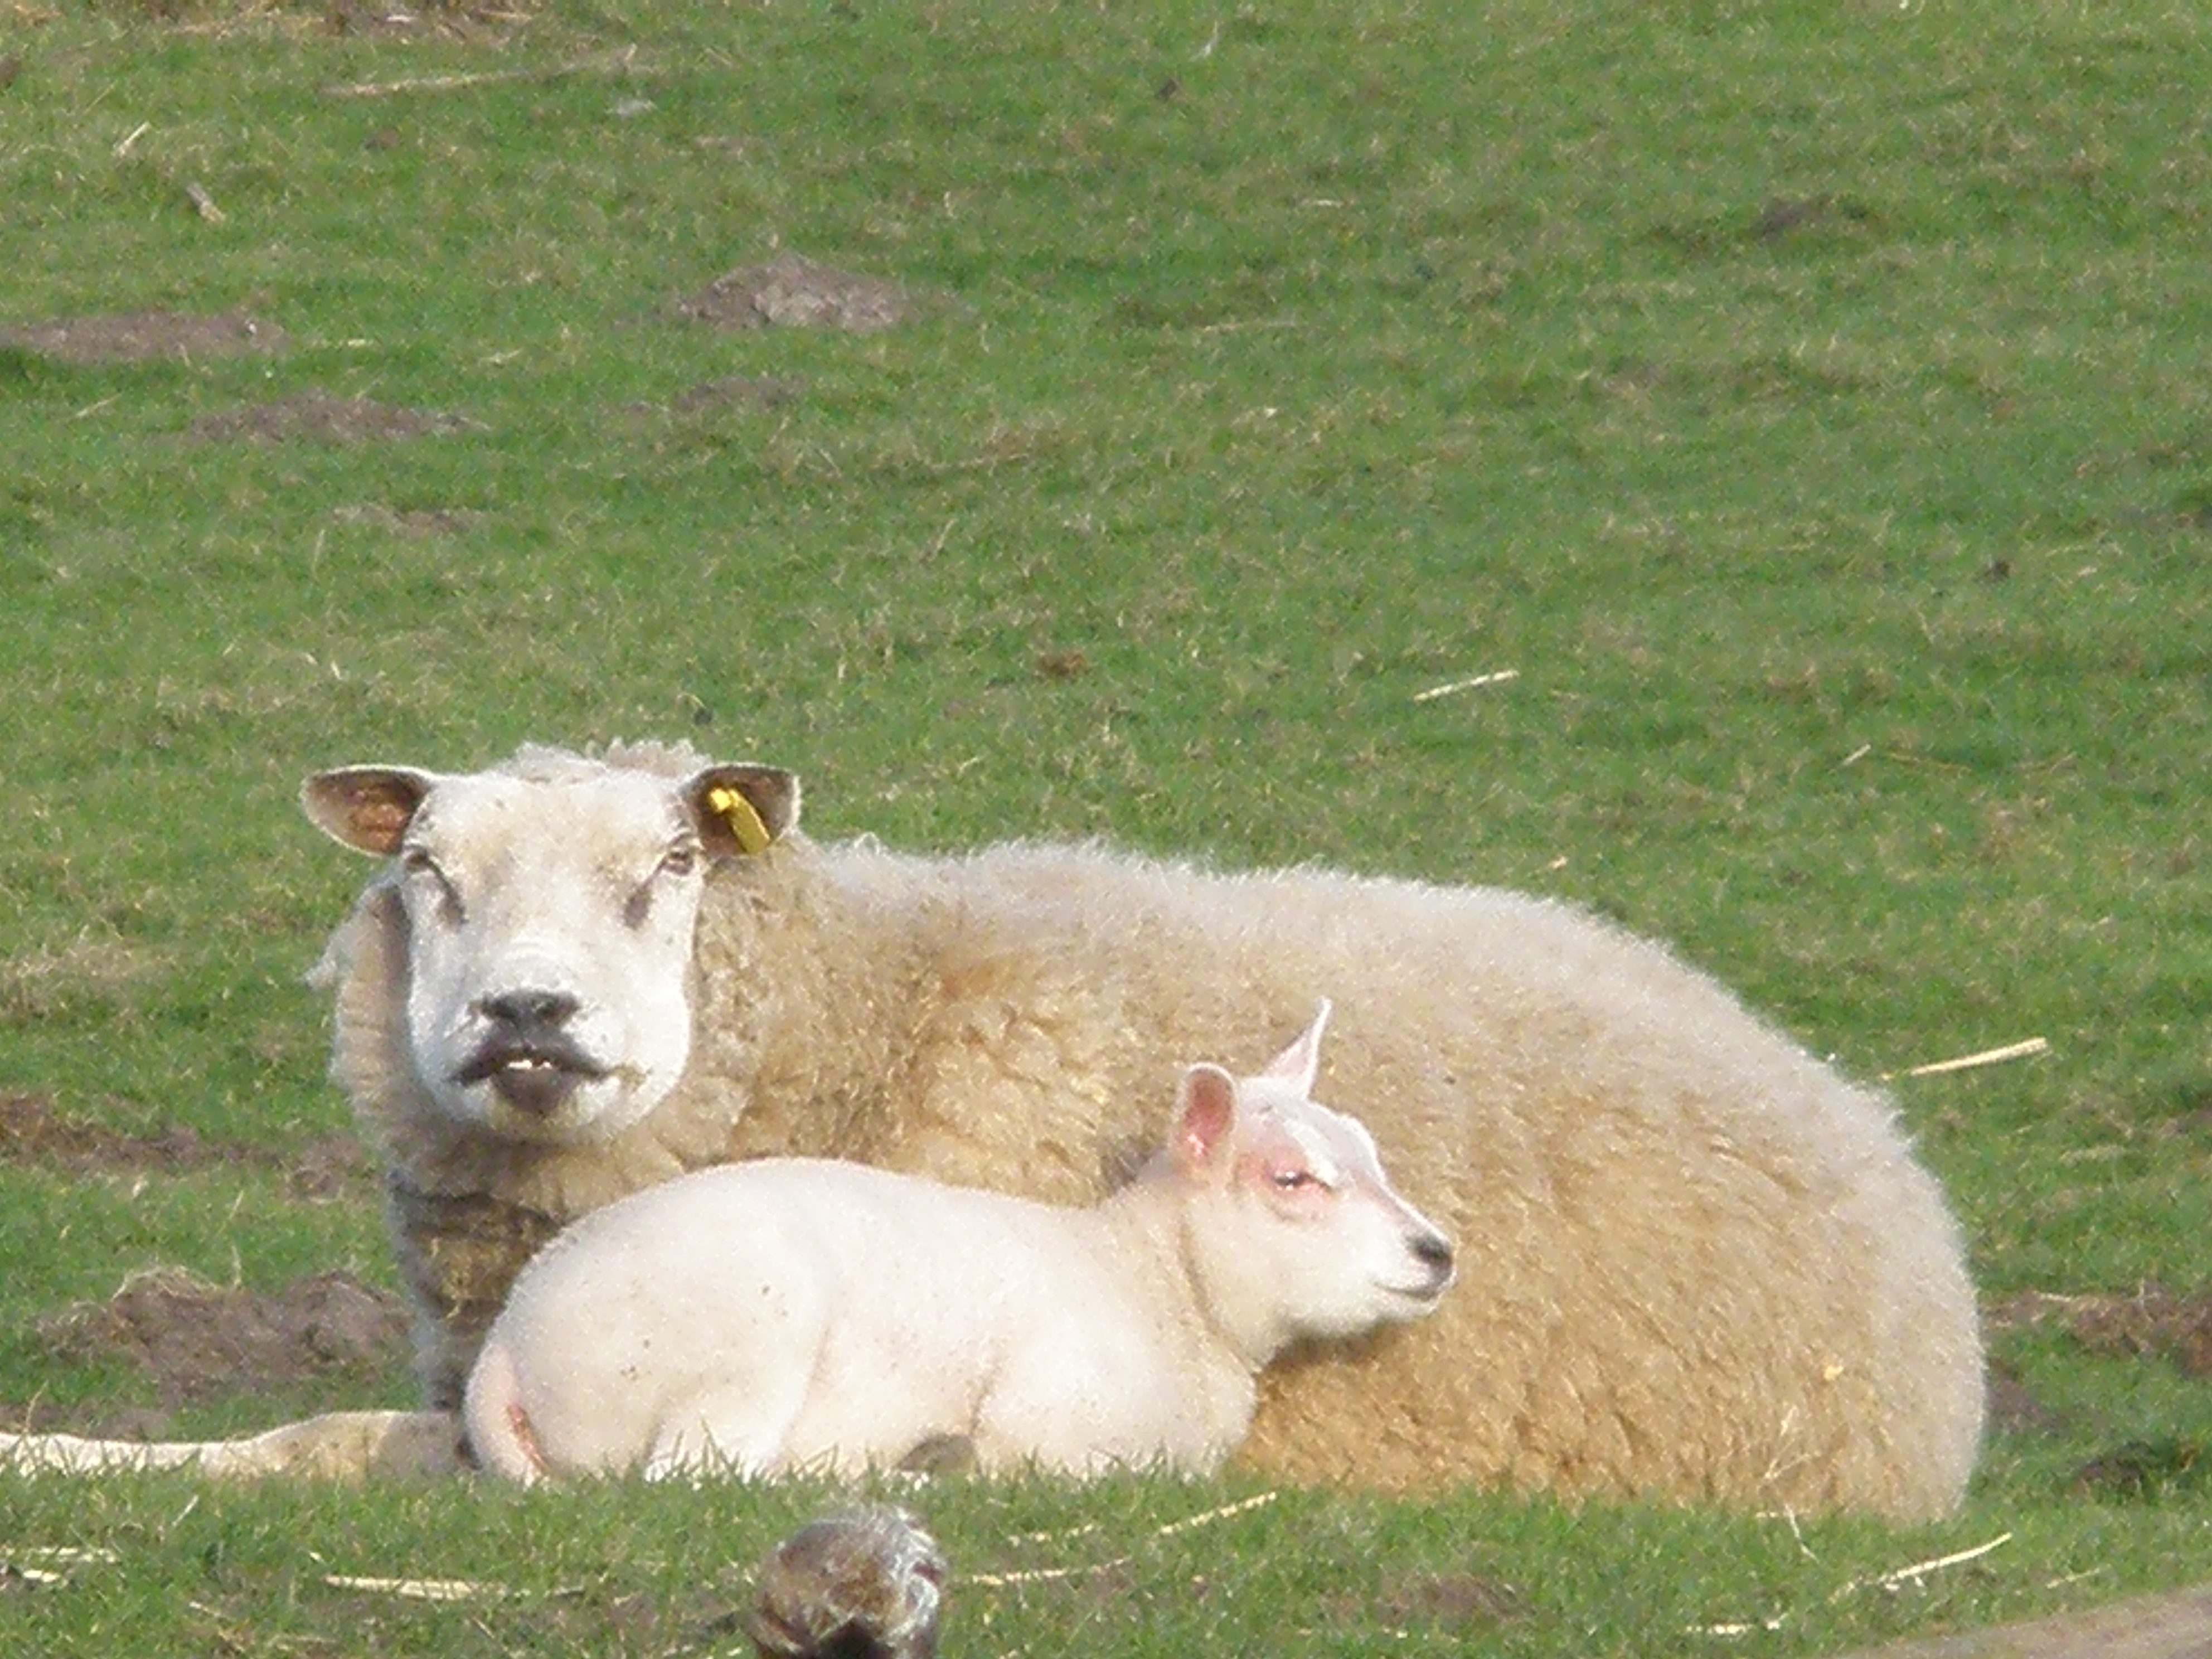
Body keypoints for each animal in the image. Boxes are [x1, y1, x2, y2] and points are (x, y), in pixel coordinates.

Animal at [464, 1008, 1451, 1486]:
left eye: (1371, 1152)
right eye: (1292, 1179)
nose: (1436, 1251)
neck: (1159, 1287)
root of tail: (507, 1343)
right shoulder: (1047, 1418)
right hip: (740, 1344)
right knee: (698, 1479)